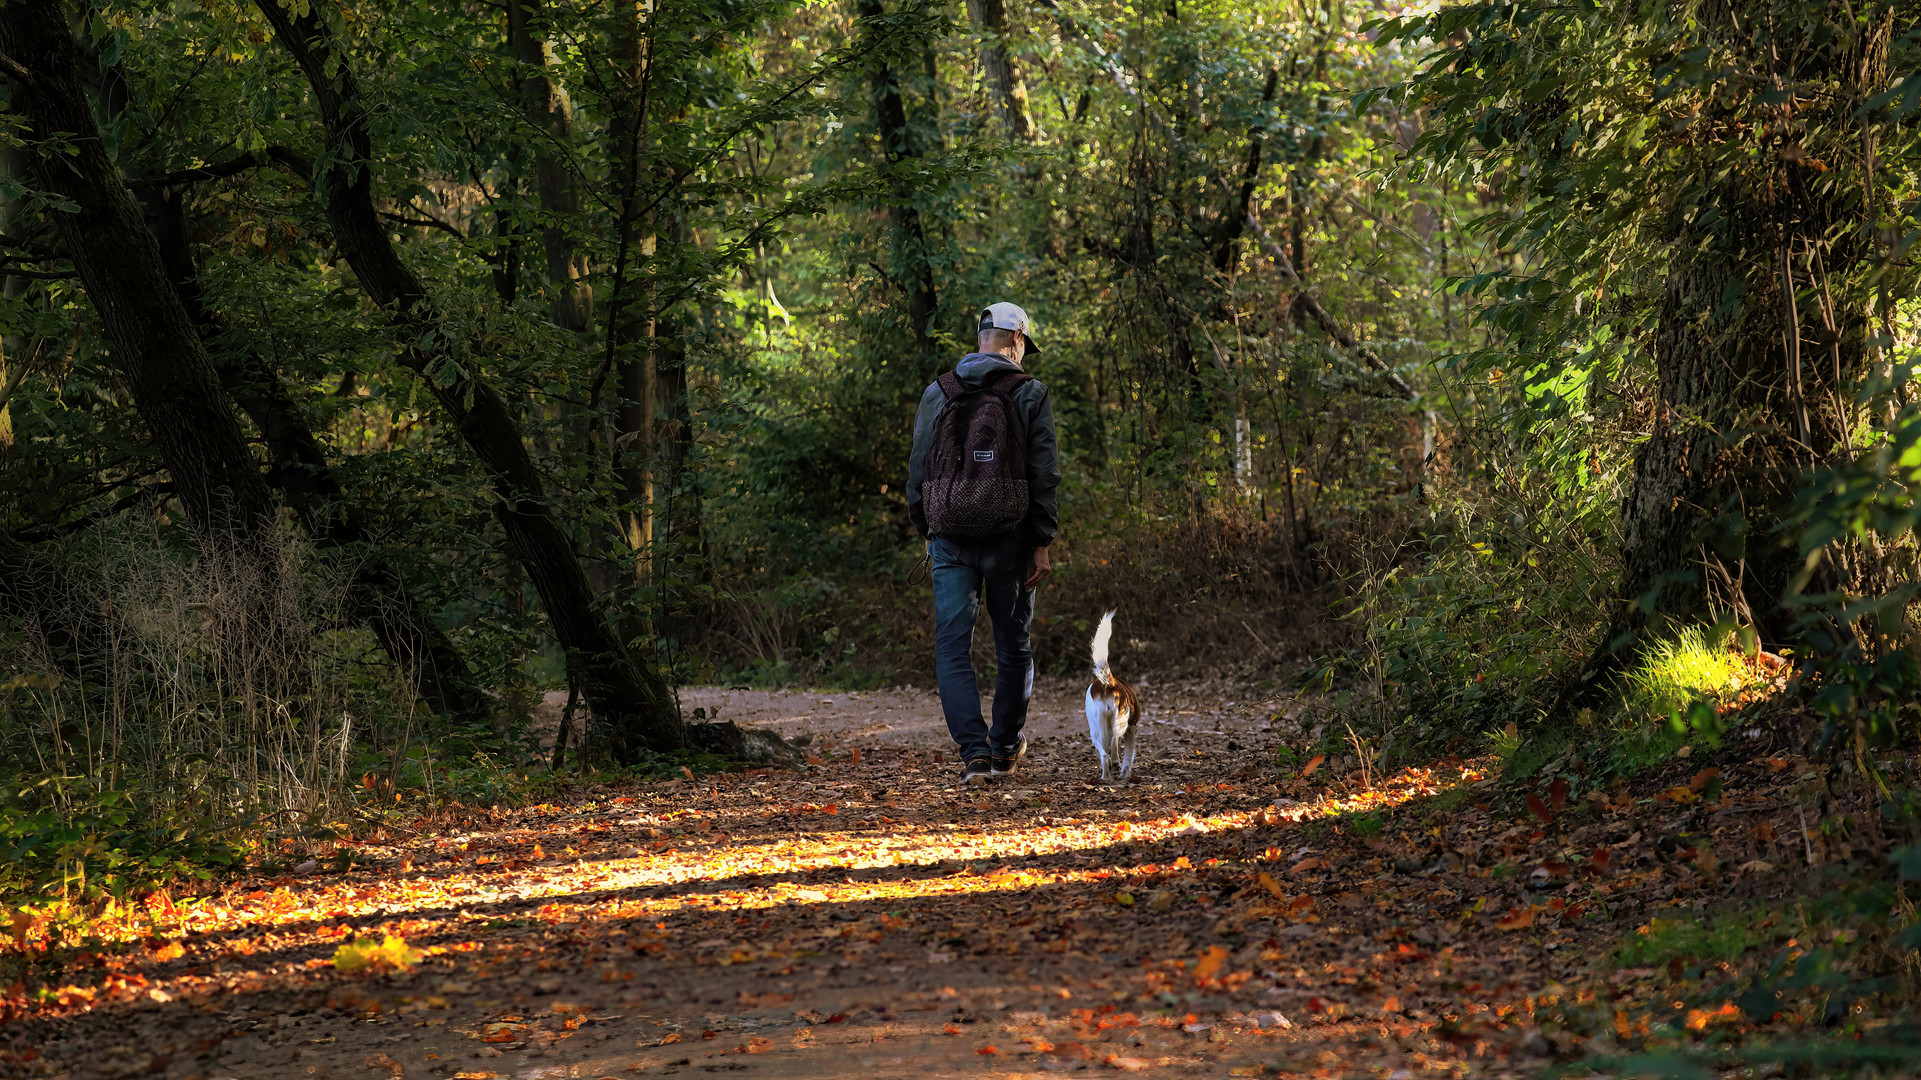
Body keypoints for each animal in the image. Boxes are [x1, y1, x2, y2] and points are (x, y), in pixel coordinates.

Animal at [1083, 611, 1137, 776]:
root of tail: (1108, 682)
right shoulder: (1132, 727)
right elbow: (1128, 755)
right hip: (1121, 720)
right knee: (1114, 740)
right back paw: (1114, 762)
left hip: (1095, 730)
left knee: (1104, 755)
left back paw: (1105, 776)